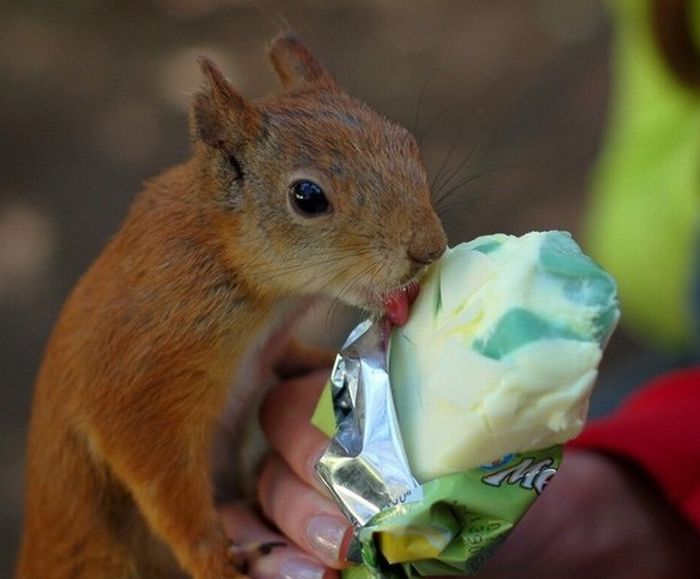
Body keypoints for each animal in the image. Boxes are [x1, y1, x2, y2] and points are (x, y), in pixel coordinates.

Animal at [16, 36, 446, 579]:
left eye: (405, 141)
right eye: (307, 197)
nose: (430, 247)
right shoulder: (141, 387)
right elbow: (164, 487)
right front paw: (214, 560)